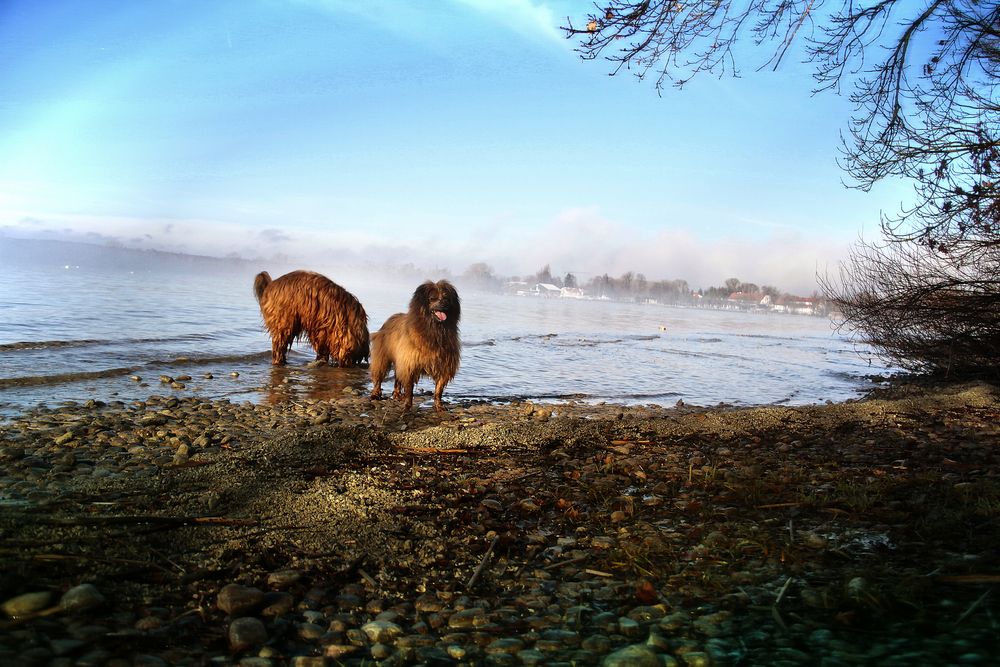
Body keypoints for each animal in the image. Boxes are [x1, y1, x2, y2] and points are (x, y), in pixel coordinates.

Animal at [370, 278, 462, 412]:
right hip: (382, 356)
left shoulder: (444, 365)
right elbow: (409, 389)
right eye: (432, 298)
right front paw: (407, 405)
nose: (444, 305)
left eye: (446, 298)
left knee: (397, 379)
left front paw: (439, 406)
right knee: (379, 376)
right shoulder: (409, 363)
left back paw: (397, 394)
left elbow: (438, 390)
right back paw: (376, 394)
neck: (434, 330)